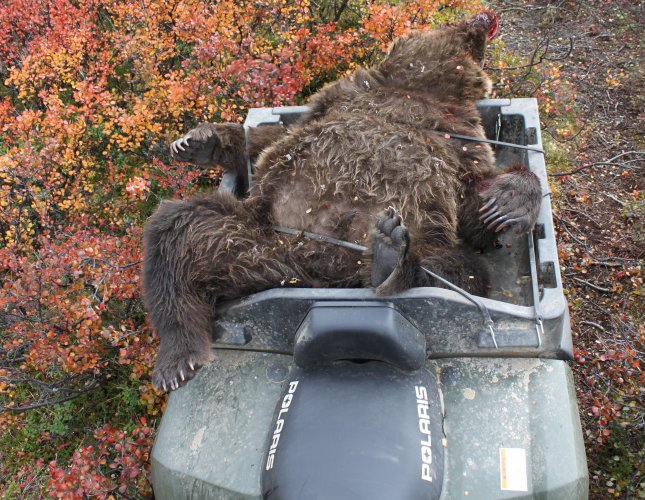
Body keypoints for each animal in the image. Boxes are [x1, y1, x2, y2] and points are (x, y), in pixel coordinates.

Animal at [143, 11, 540, 392]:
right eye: (461, 28)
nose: (485, 19)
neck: (416, 89)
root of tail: (317, 273)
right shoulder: (338, 99)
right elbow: (263, 142)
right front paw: (198, 141)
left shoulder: (461, 140)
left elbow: (473, 208)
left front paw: (506, 202)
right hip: (263, 237)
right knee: (180, 234)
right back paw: (176, 359)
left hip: (396, 244)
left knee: (458, 272)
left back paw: (389, 259)